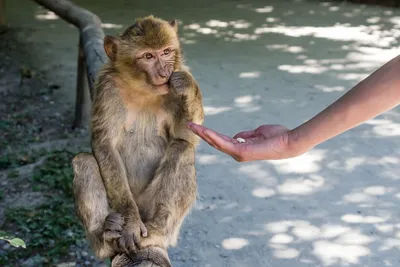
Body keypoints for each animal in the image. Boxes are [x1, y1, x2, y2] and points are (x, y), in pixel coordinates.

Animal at [70, 14, 205, 264]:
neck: (143, 89)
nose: (164, 72)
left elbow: (187, 136)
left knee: (181, 149)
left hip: (150, 204)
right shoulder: (108, 87)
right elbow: (104, 144)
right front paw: (130, 222)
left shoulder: (175, 85)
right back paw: (105, 236)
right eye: (148, 56)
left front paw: (187, 86)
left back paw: (158, 230)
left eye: (166, 52)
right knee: (83, 161)